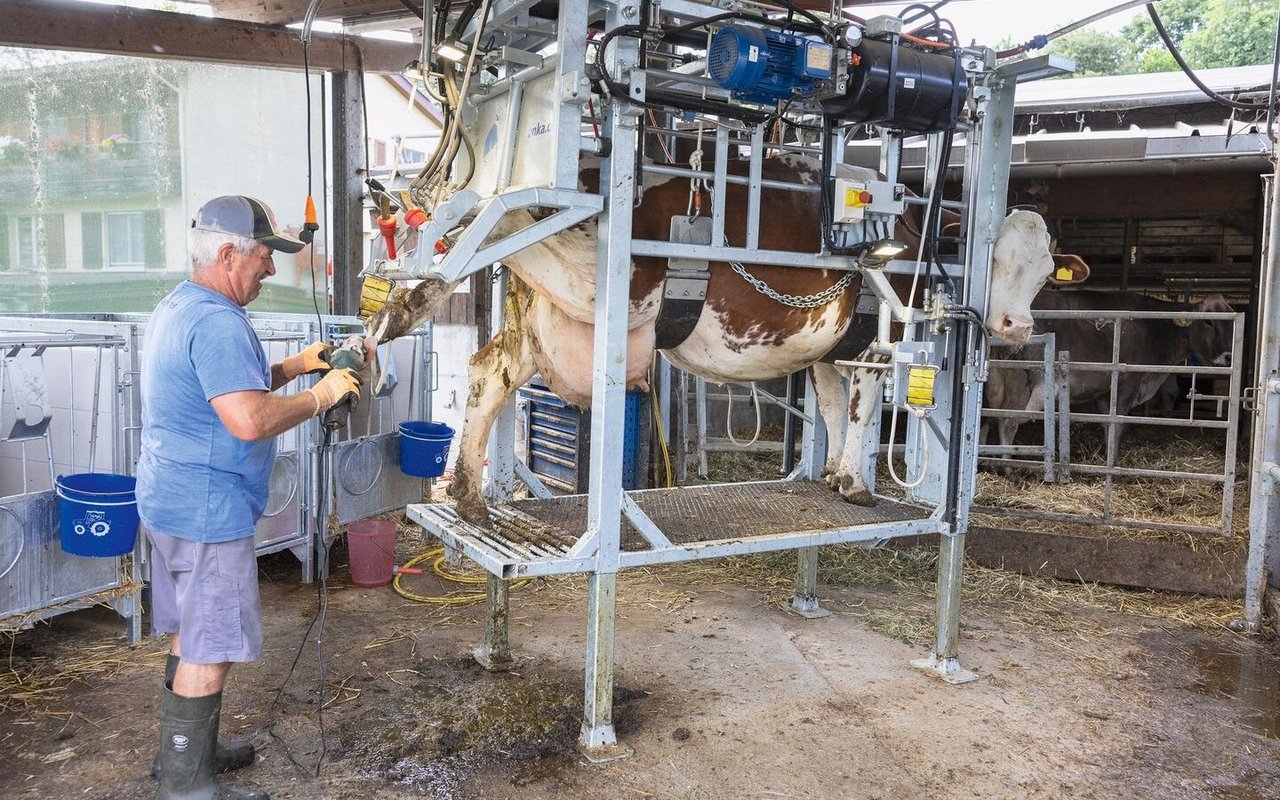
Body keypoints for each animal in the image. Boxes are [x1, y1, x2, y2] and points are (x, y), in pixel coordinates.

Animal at [366, 152, 1085, 527]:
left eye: (1045, 268)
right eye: (993, 258)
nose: (1017, 327)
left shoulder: (827, 348)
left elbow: (831, 406)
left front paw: (830, 472)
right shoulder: (874, 344)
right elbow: (861, 410)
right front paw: (856, 481)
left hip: (538, 318)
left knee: (487, 371)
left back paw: (464, 490)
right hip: (596, 286)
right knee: (507, 264)